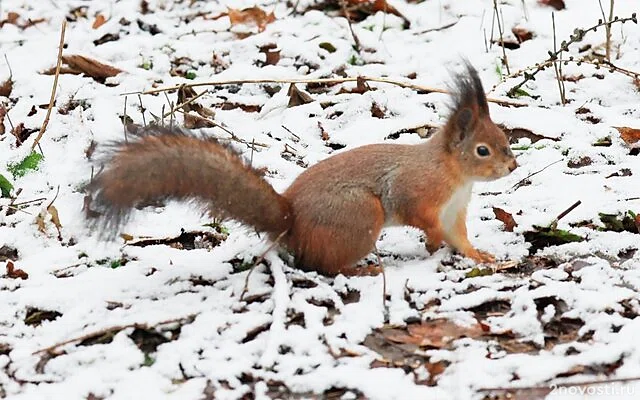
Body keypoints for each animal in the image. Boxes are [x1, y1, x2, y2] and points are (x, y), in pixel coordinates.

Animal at [89, 62, 520, 276]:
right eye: (482, 150)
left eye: (503, 136)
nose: (512, 165)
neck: (454, 174)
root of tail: (290, 222)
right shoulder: (417, 190)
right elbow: (418, 215)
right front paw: (431, 242)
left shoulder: (454, 210)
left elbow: (458, 237)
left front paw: (480, 256)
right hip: (361, 215)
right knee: (322, 267)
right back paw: (359, 272)